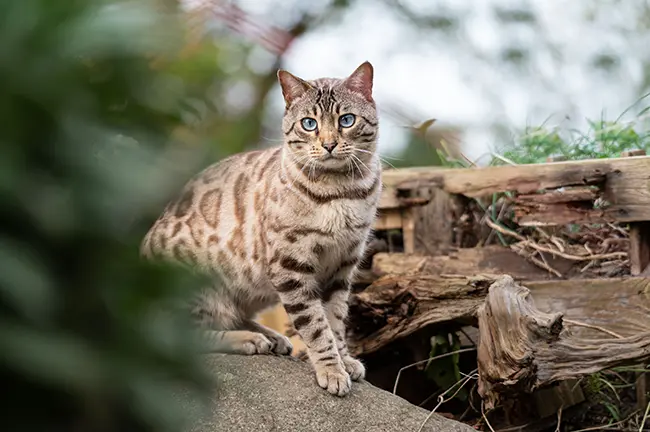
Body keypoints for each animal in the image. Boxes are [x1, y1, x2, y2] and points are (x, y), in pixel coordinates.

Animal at [139, 61, 378, 398]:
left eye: (347, 120)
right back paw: (249, 340)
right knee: (181, 339)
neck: (340, 190)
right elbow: (316, 325)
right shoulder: (291, 265)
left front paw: (345, 360)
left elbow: (336, 320)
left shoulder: (343, 265)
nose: (329, 144)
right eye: (309, 124)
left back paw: (271, 337)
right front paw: (332, 370)